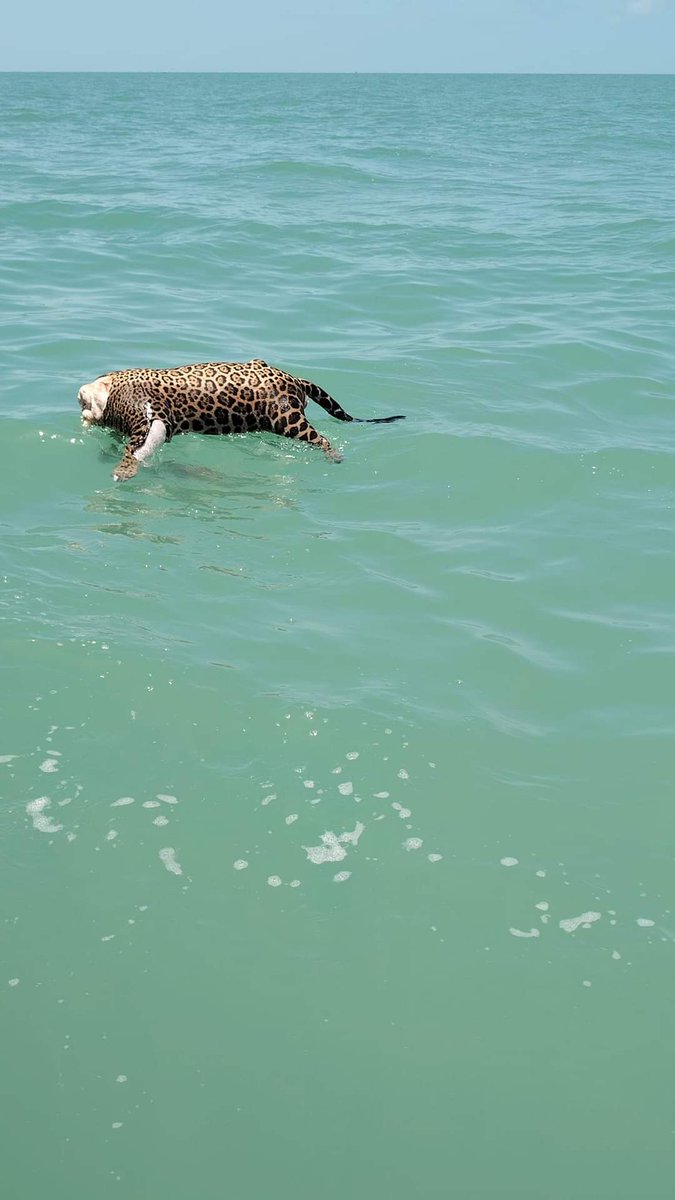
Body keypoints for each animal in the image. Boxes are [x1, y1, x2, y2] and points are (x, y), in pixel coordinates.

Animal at [77, 359, 405, 481]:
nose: (80, 403)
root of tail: (294, 379)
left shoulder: (144, 418)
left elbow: (133, 447)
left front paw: (123, 469)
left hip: (288, 419)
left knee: (320, 439)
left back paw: (334, 456)